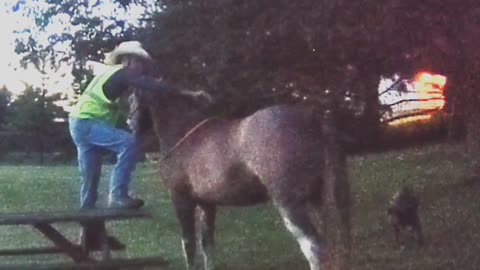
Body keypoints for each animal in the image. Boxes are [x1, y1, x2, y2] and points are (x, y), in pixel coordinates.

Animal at [142, 89, 352, 270]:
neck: (185, 134)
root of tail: (314, 121)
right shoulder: (207, 204)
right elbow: (207, 244)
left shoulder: (181, 200)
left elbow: (189, 245)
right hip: (315, 199)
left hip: (290, 206)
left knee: (314, 249)